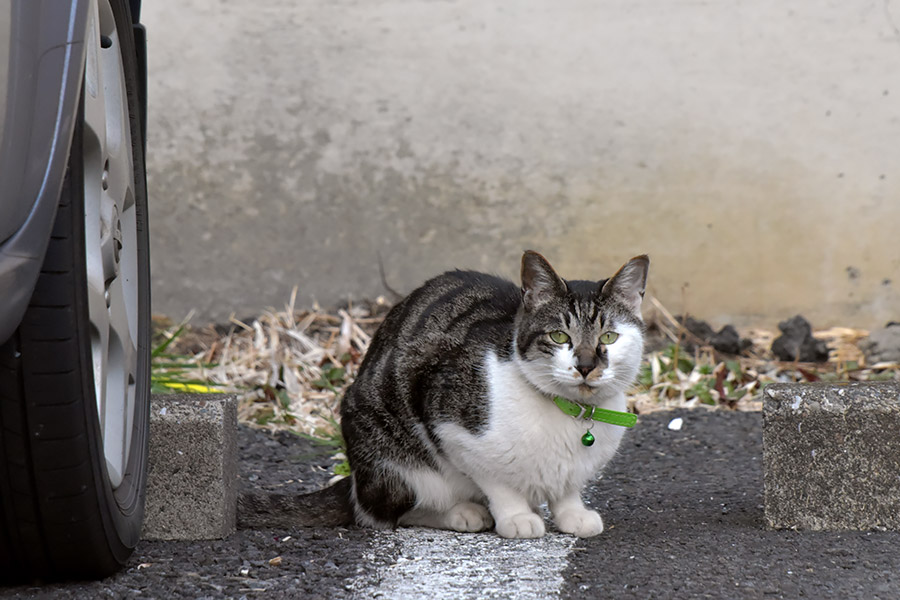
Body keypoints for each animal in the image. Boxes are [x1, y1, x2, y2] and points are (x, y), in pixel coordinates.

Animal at [239, 250, 648, 540]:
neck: (574, 414)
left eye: (609, 337)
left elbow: (567, 488)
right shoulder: (451, 427)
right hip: (390, 456)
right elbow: (498, 482)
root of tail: (355, 477)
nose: (586, 365)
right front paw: (517, 516)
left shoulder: (575, 468)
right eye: (560, 336)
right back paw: (463, 512)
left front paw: (572, 514)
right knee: (385, 513)